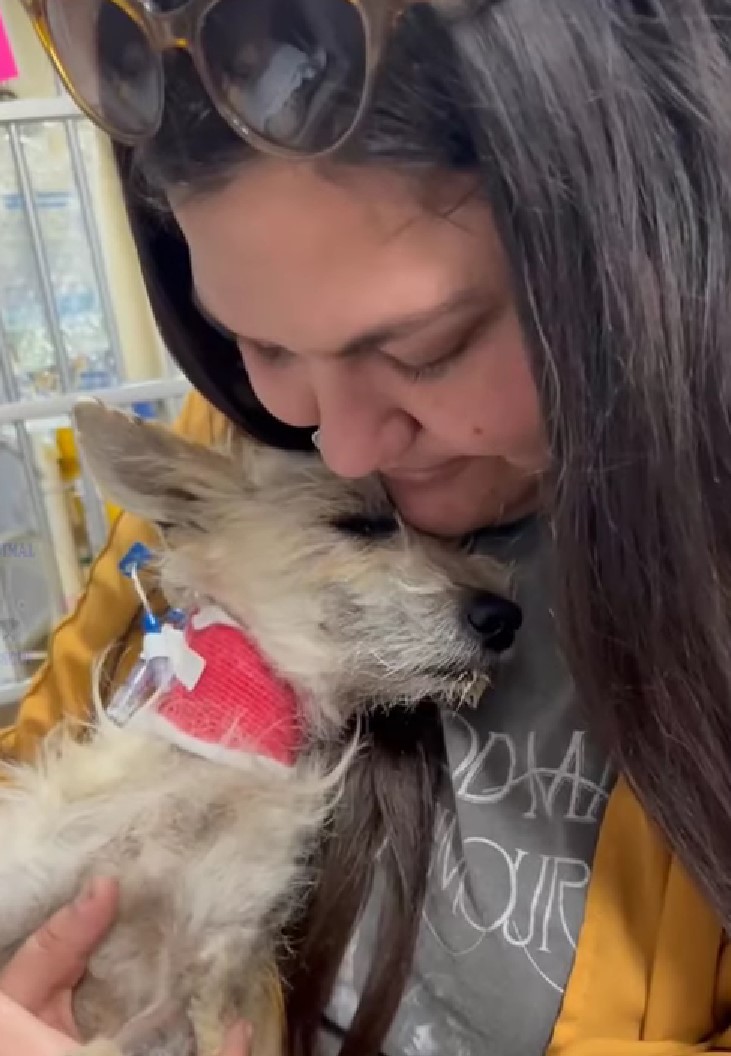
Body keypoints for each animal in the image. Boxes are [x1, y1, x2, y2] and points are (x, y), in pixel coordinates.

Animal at [0, 403, 519, 1056]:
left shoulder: (220, 958)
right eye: (362, 523)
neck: (224, 757)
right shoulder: (35, 874)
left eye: (458, 539)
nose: (507, 617)